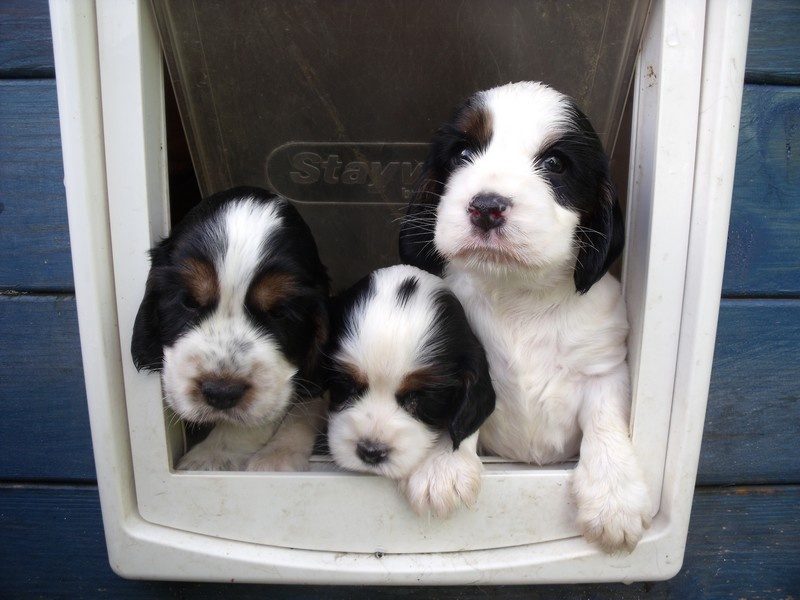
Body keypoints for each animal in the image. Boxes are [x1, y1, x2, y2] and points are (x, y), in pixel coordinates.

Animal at [404, 82, 652, 552]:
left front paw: (613, 497)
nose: (486, 206)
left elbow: (606, 420)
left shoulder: (605, 368)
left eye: (554, 163)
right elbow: (463, 411)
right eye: (462, 153)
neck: (520, 294)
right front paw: (442, 465)